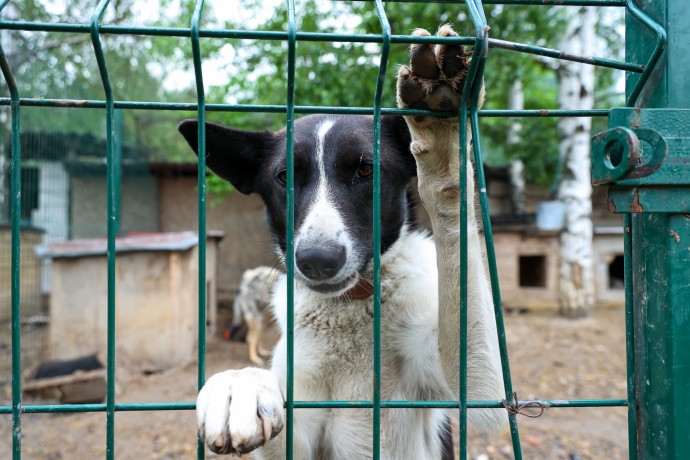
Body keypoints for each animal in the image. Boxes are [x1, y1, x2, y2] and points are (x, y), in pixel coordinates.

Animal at [180, 25, 506, 460]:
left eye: (366, 170)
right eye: (285, 177)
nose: (318, 260)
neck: (350, 307)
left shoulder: (480, 390)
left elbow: (450, 197)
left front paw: (440, 135)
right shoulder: (299, 426)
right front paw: (239, 387)